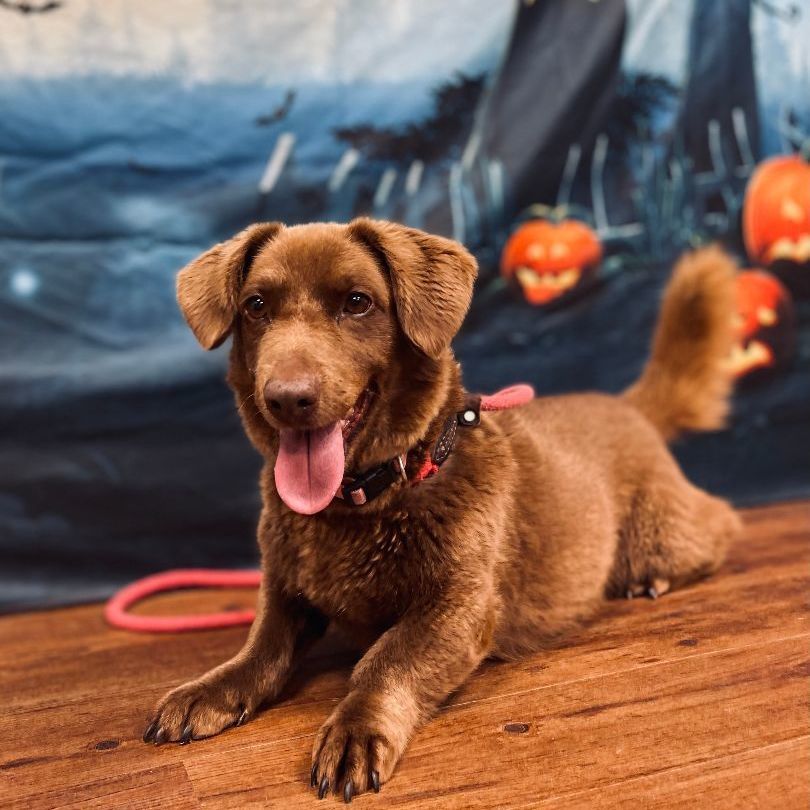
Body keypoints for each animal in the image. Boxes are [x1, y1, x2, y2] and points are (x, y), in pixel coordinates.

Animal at [144, 221, 740, 800]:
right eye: (256, 306)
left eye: (357, 302)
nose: (287, 398)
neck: (362, 501)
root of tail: (627, 405)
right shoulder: (285, 591)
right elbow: (259, 649)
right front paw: (208, 691)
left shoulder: (460, 606)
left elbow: (385, 660)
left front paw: (356, 730)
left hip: (659, 535)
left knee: (721, 521)